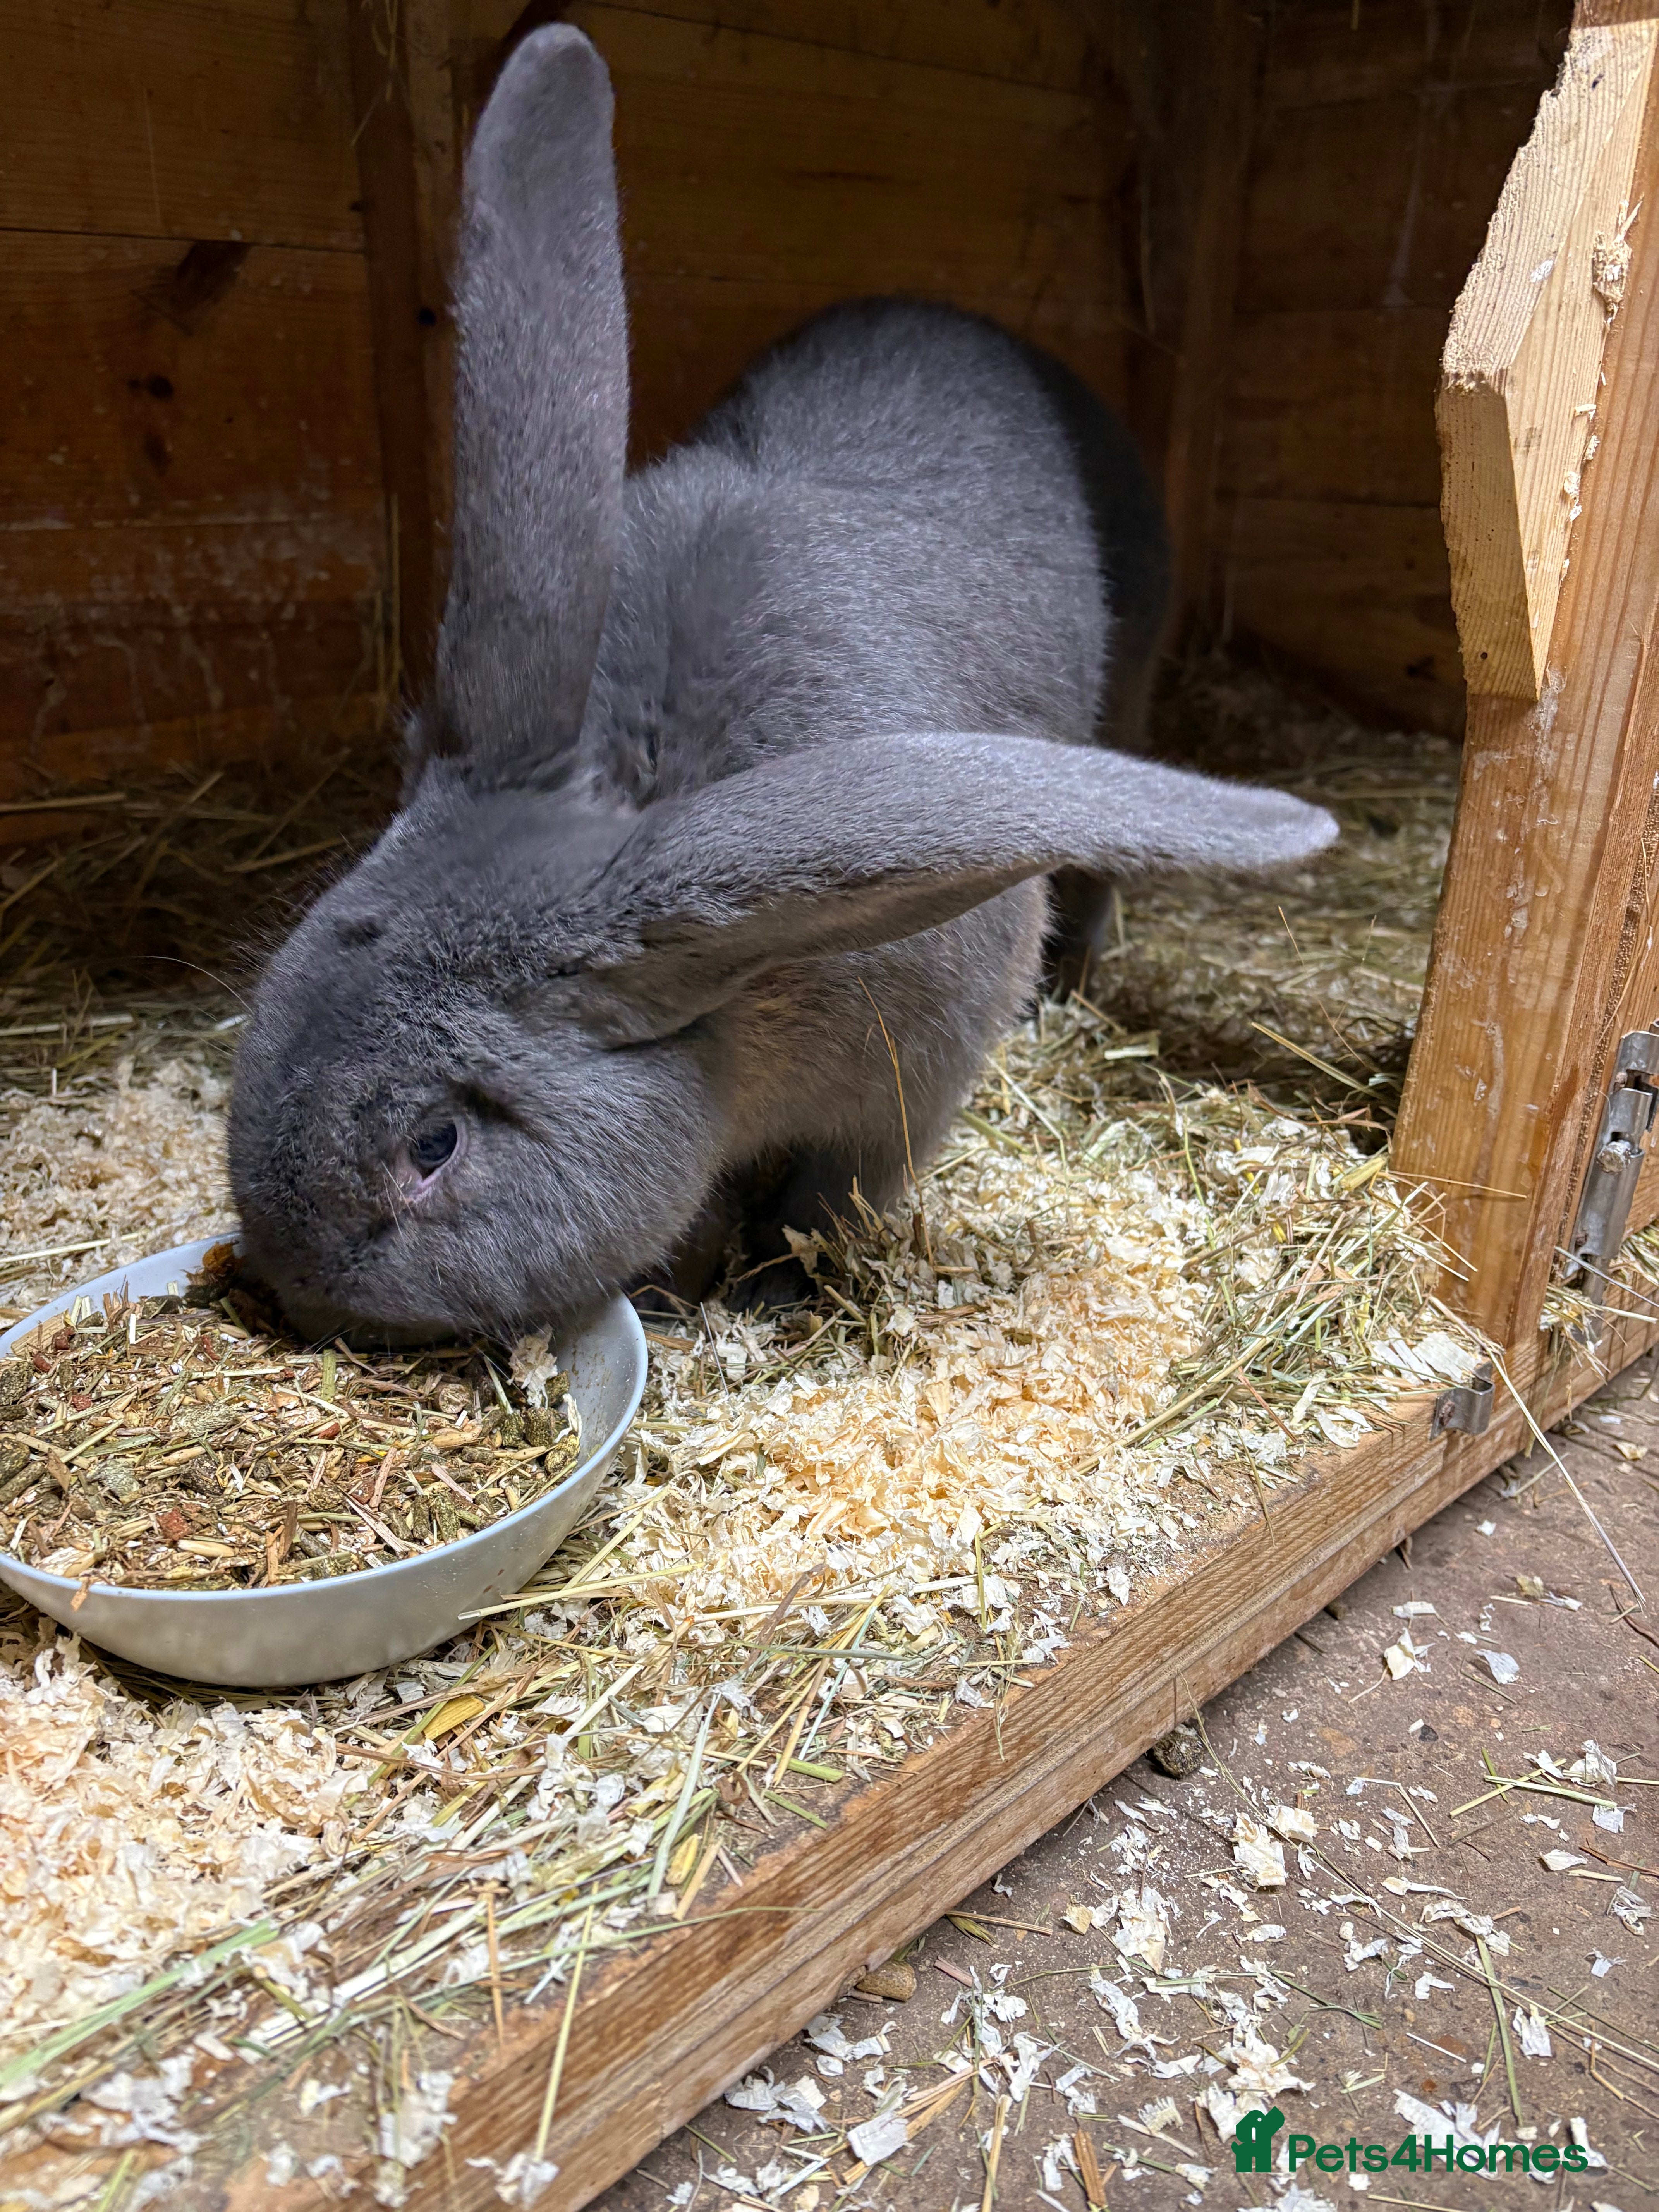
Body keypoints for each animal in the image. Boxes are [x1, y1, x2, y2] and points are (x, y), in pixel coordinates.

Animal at [227, 24, 1337, 1346]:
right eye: (264, 1008)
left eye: (433, 1143)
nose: (293, 1286)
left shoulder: (900, 1091)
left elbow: (827, 1198)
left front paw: (764, 1288)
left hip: (1128, 700)